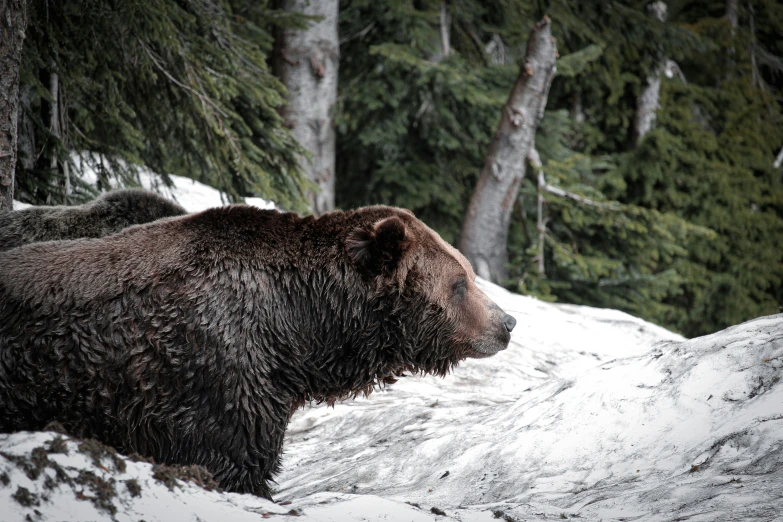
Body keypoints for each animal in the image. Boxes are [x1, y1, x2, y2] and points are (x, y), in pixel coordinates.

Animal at [0, 203, 516, 496]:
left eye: (469, 273)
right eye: (459, 283)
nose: (507, 322)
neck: (297, 327)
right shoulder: (211, 371)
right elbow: (233, 461)